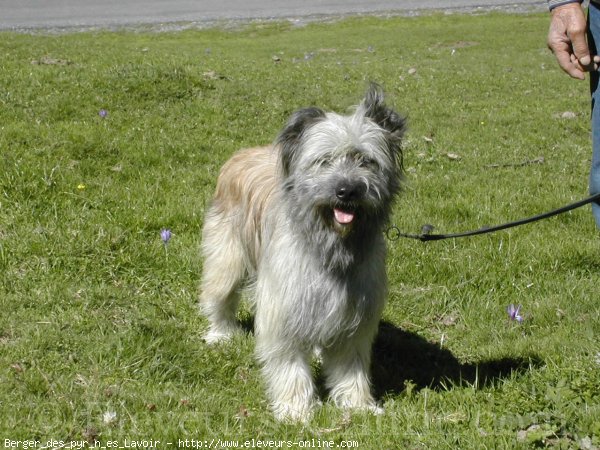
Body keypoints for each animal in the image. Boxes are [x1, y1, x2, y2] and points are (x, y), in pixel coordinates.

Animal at [199, 84, 406, 422]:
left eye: (365, 160)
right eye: (324, 160)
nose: (347, 191)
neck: (330, 245)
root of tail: (242, 153)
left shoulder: (354, 316)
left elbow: (351, 365)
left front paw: (357, 404)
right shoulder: (284, 309)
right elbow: (289, 364)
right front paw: (296, 410)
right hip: (227, 258)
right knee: (219, 294)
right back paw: (221, 334)